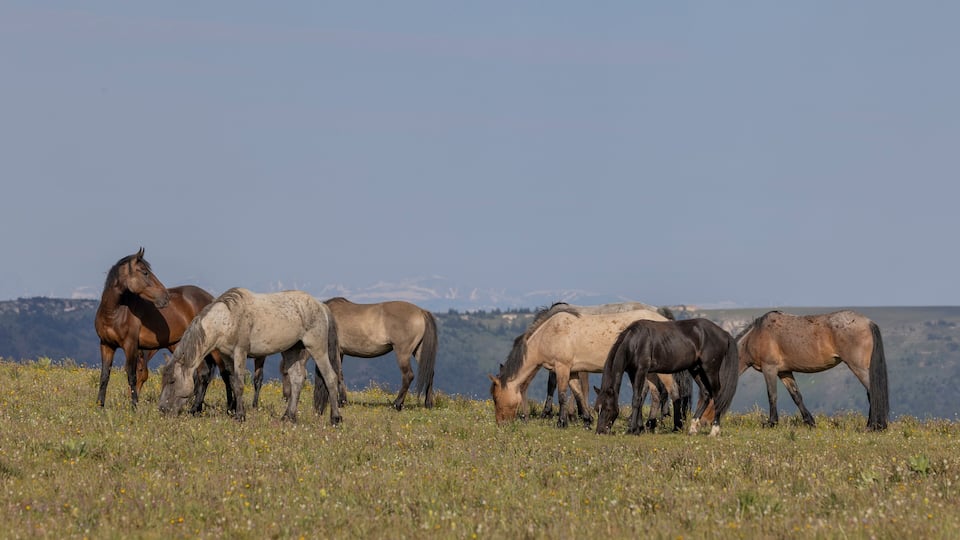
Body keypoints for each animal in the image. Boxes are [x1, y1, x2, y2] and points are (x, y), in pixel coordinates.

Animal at [94, 248, 239, 409]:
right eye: (145, 272)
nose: (165, 296)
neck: (114, 313)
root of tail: (213, 300)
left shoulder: (130, 345)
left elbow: (131, 375)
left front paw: (134, 407)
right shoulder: (106, 345)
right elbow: (104, 376)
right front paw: (99, 406)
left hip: (214, 349)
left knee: (223, 373)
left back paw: (226, 407)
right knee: (205, 373)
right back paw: (197, 408)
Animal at [158, 288, 342, 426]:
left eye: (172, 381)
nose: (162, 410)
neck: (228, 319)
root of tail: (321, 305)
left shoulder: (240, 352)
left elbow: (240, 384)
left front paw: (240, 416)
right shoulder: (226, 356)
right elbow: (232, 382)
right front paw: (234, 411)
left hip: (317, 348)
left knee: (330, 378)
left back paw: (335, 418)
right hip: (291, 350)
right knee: (297, 379)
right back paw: (288, 417)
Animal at [489, 305, 668, 427]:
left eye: (496, 398)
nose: (500, 424)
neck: (548, 334)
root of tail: (665, 320)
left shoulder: (562, 367)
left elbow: (562, 395)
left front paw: (562, 422)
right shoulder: (573, 371)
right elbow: (578, 393)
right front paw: (587, 420)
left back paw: (648, 422)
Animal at [595, 318, 739, 437]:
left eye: (607, 408)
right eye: (597, 409)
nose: (599, 431)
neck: (635, 342)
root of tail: (724, 333)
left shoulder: (641, 370)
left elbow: (636, 399)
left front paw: (631, 430)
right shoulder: (632, 372)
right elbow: (639, 399)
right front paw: (637, 429)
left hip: (710, 369)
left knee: (717, 395)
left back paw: (714, 430)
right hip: (696, 369)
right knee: (705, 394)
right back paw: (692, 429)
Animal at [736, 310, 889, 431]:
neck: (756, 335)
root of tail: (868, 322)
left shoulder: (769, 369)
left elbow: (772, 395)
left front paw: (771, 423)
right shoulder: (784, 372)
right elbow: (796, 396)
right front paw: (810, 422)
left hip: (858, 367)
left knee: (873, 392)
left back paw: (873, 426)